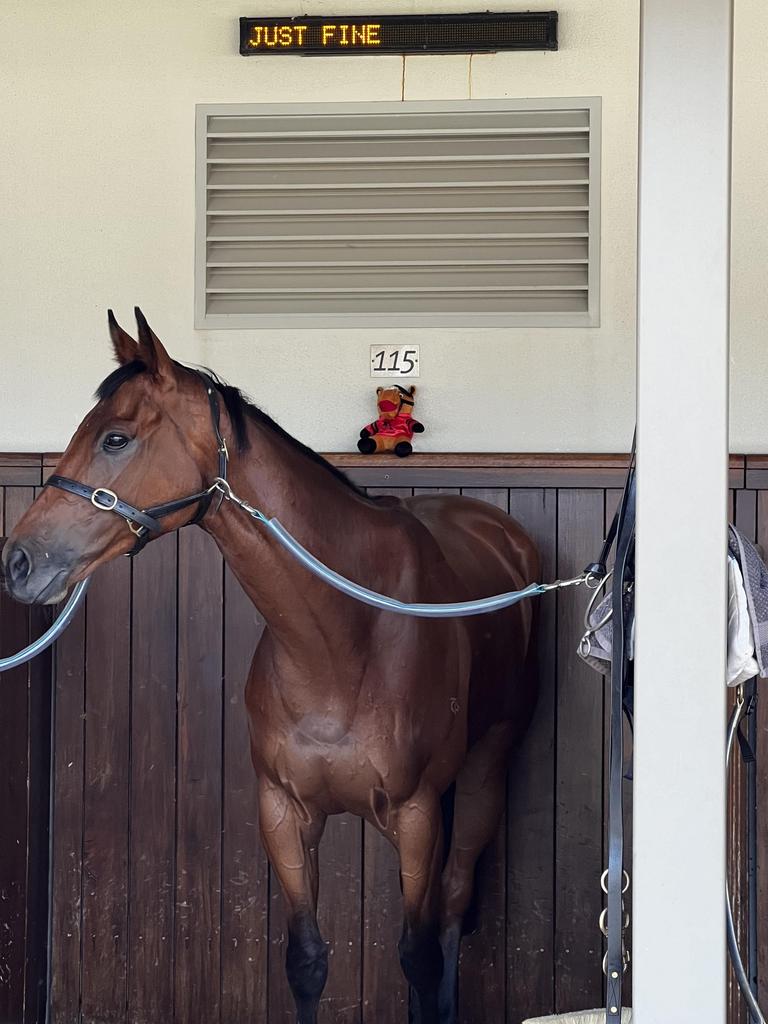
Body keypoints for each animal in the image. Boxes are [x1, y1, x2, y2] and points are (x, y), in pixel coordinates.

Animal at [3, 311, 536, 1024]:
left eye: (116, 438)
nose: (17, 561)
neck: (342, 638)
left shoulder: (418, 814)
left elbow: (419, 959)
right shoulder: (283, 812)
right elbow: (306, 960)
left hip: (487, 769)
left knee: (451, 904)